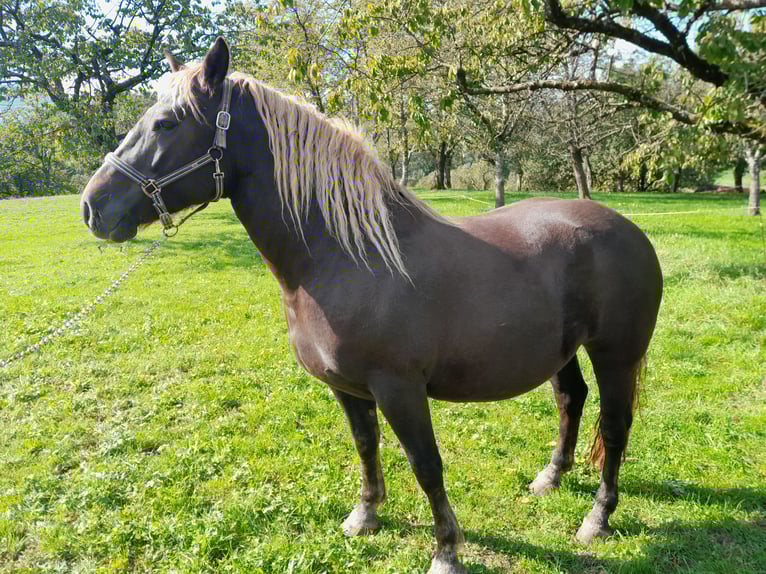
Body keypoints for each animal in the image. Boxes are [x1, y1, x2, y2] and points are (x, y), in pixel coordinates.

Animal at [80, 38, 663, 574]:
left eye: (165, 124)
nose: (92, 207)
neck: (346, 257)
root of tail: (629, 230)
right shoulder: (348, 387)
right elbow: (366, 446)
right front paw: (365, 516)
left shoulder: (399, 389)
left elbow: (426, 465)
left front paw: (446, 552)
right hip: (561, 351)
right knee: (570, 400)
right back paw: (550, 477)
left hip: (615, 355)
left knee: (615, 427)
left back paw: (597, 518)